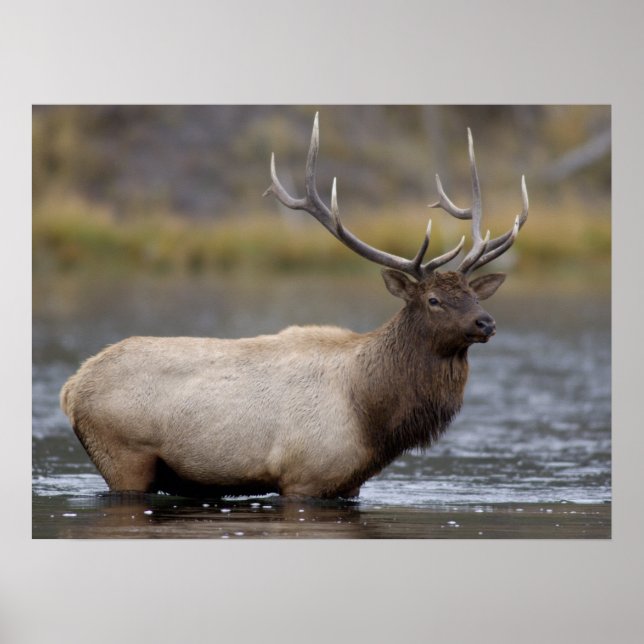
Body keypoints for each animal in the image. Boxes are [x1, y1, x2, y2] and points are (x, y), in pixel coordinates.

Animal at [60, 113, 528, 499]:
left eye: (474, 295)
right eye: (433, 300)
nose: (486, 323)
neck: (370, 415)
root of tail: (71, 388)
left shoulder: (347, 485)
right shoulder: (305, 477)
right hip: (124, 457)